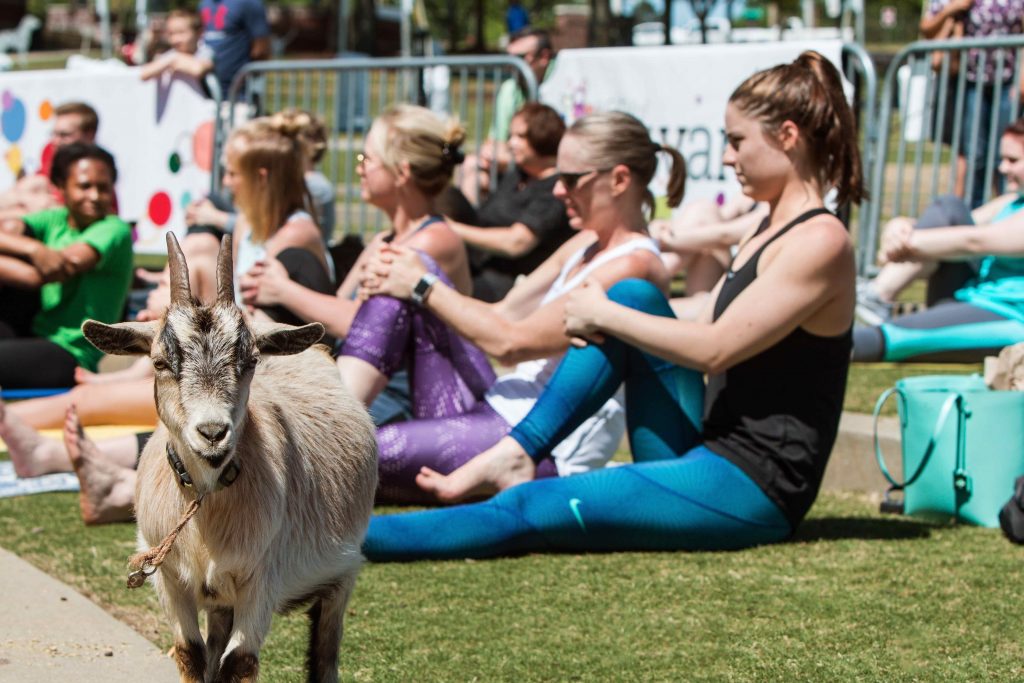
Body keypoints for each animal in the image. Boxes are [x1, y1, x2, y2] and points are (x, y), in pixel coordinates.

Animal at [82, 233, 378, 683]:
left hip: (343, 573)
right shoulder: (171, 580)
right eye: (160, 362)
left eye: (251, 360)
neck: (204, 512)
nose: (212, 433)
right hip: (221, 598)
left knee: (325, 653)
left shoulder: (261, 579)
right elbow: (192, 654)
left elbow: (238, 663)